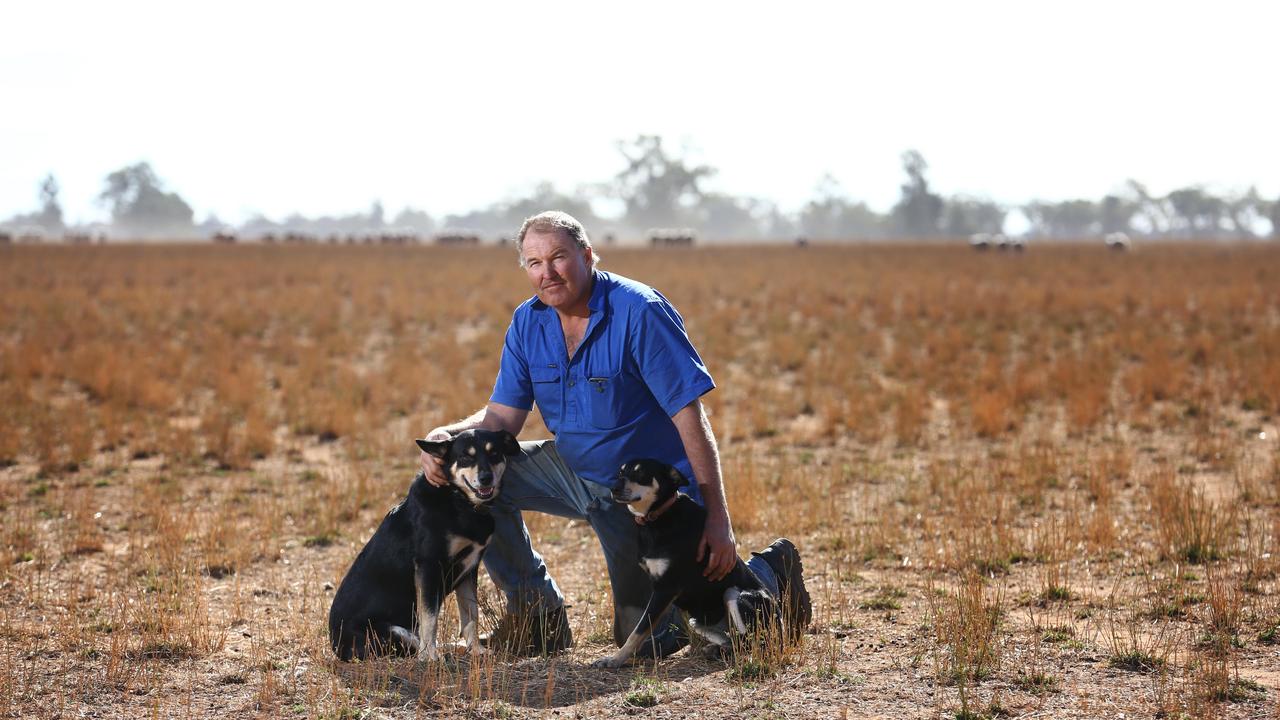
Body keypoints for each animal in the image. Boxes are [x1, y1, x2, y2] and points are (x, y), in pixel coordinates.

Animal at [327, 427, 522, 661]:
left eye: (494, 453)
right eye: (466, 457)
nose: (486, 478)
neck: (458, 500)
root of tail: (336, 645)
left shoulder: (469, 568)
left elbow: (471, 615)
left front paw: (476, 650)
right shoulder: (428, 566)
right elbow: (430, 618)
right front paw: (430, 657)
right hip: (394, 632)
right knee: (413, 640)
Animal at [591, 456, 808, 666]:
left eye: (641, 473)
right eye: (620, 472)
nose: (614, 489)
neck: (660, 515)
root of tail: (782, 628)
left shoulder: (665, 588)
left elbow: (638, 631)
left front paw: (615, 659)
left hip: (735, 594)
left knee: (752, 641)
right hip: (699, 621)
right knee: (735, 640)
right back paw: (717, 650)